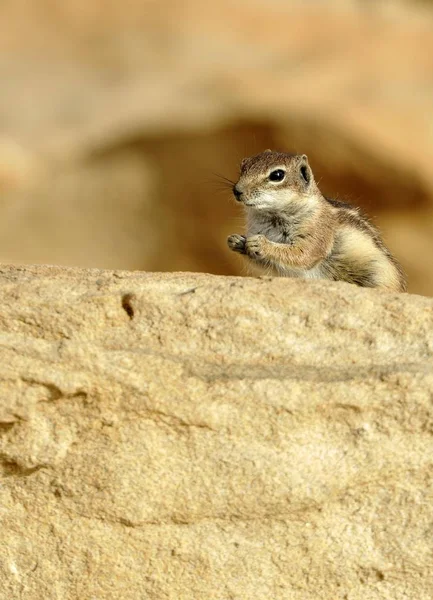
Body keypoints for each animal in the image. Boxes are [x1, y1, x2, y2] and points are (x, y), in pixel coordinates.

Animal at [226, 149, 404, 290]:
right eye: (243, 165)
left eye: (277, 175)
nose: (237, 190)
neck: (272, 215)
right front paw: (236, 240)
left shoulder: (318, 231)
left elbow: (304, 253)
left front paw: (261, 244)